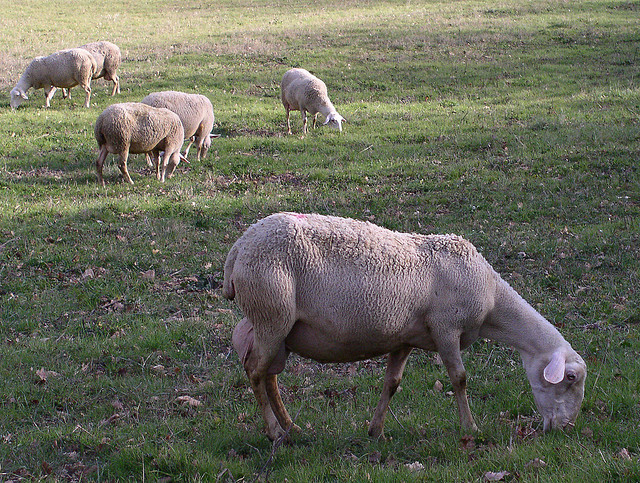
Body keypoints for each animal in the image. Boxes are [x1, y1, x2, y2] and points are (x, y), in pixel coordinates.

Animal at [223, 212, 587, 442]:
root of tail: (239, 247)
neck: (493, 300)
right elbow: (460, 378)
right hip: (272, 313)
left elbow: (392, 383)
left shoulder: (404, 339)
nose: (565, 428)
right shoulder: (446, 328)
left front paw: (376, 432)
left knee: (269, 376)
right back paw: (274, 432)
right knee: (256, 371)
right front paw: (470, 428)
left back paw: (292, 428)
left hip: (278, 325)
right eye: (570, 378)